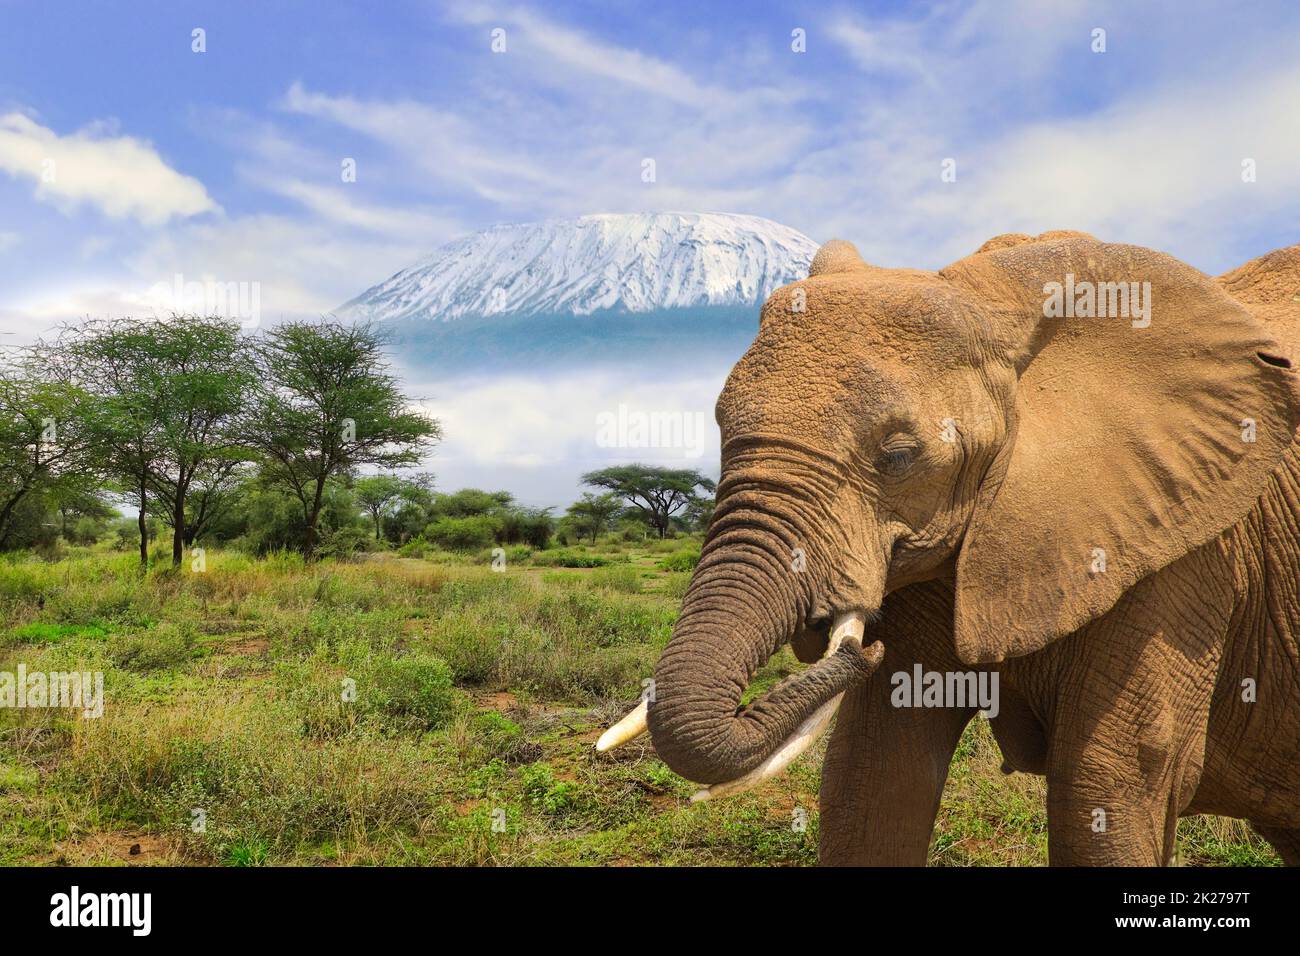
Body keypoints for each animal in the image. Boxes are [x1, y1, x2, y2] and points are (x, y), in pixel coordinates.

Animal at [595, 230, 1300, 868]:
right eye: (719, 426)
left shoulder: (1184, 542)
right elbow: (874, 770)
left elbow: (1108, 785)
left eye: (900, 456)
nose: (860, 644)